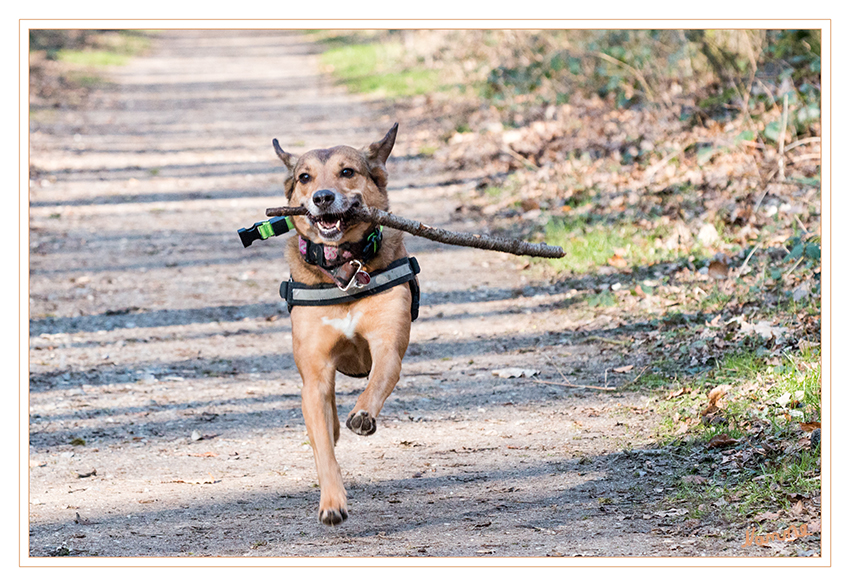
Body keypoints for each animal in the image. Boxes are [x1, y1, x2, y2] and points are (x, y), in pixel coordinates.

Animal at [272, 123, 418, 524]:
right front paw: (332, 502)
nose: (322, 197)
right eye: (305, 177)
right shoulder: (316, 372)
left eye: (347, 172)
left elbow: (378, 382)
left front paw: (363, 414)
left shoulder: (387, 345)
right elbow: (323, 446)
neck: (343, 267)